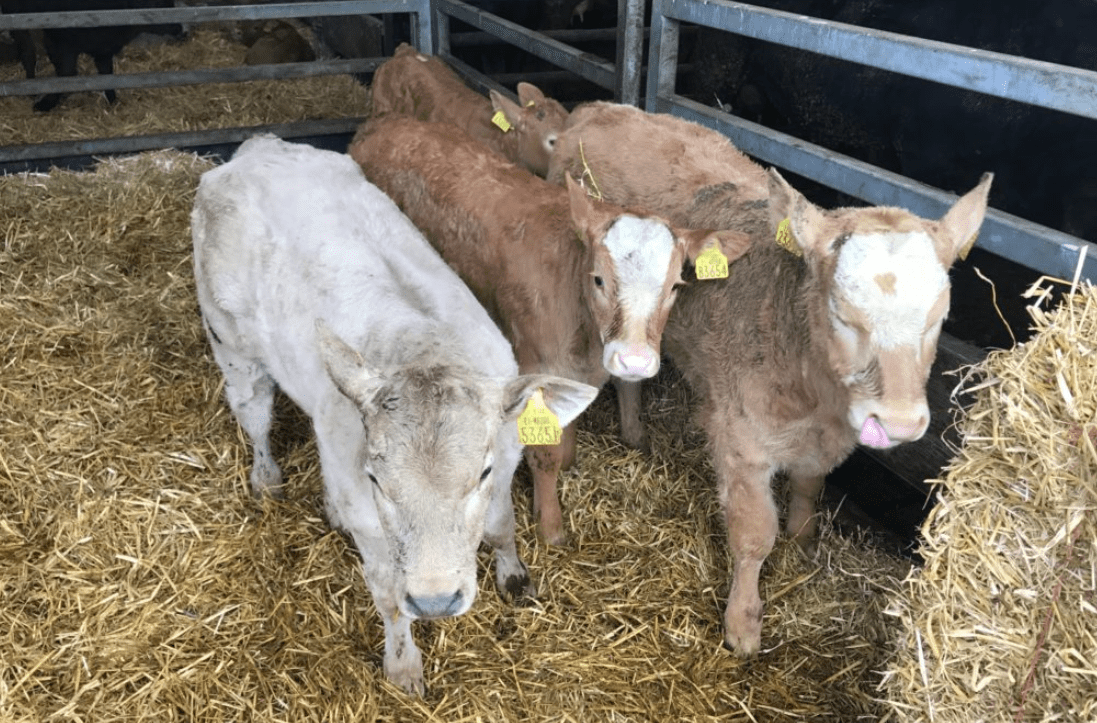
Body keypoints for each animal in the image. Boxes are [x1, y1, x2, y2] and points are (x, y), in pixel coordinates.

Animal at [191, 136, 598, 695]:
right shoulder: (371, 522)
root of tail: (255, 150)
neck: (424, 348)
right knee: (254, 414)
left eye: (482, 472)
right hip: (230, 344)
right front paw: (404, 667)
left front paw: (514, 576)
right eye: (377, 479)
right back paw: (266, 477)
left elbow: (499, 526)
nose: (436, 600)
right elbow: (388, 598)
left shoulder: (505, 461)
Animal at [348, 115, 751, 546]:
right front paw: (551, 525)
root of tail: (382, 122)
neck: (585, 338)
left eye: (676, 285)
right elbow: (544, 453)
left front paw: (571, 459)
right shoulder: (534, 363)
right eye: (598, 279)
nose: (634, 361)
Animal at [547, 102, 991, 655]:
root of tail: (599, 109)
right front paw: (743, 624)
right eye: (841, 313)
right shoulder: (742, 439)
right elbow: (755, 533)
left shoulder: (824, 442)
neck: (815, 393)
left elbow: (808, 489)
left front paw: (801, 544)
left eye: (939, 317)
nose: (902, 423)